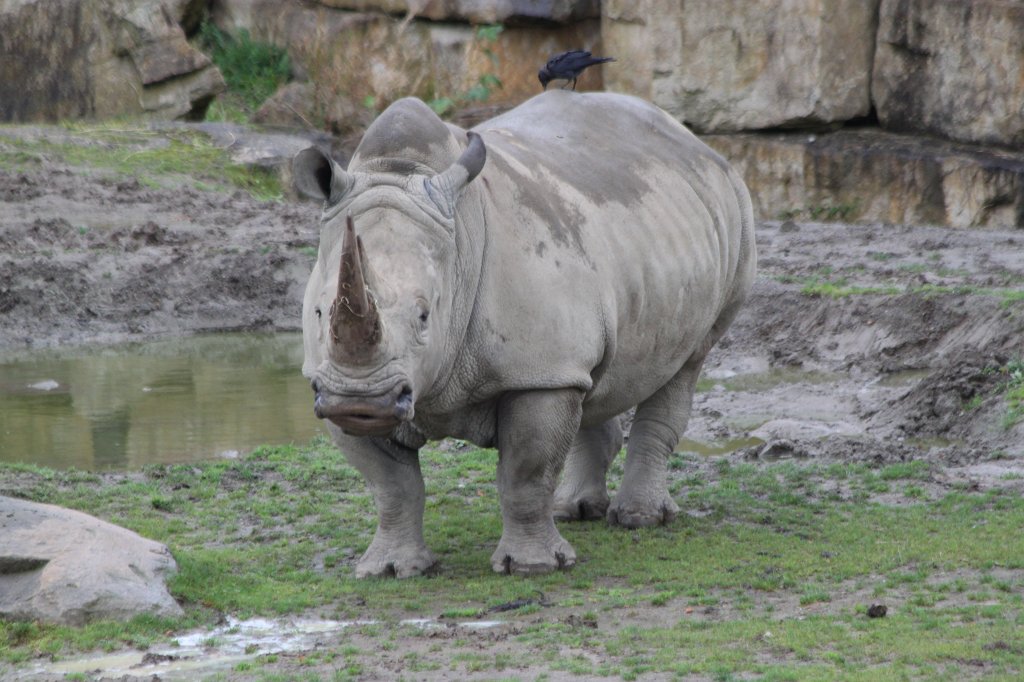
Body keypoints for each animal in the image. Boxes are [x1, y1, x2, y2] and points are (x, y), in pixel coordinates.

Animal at [293, 90, 756, 577]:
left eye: (424, 316)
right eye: (320, 312)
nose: (359, 401)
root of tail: (689, 138)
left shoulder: (538, 371)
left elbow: (526, 473)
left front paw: (533, 567)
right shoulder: (330, 380)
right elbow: (392, 486)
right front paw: (390, 570)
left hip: (733, 219)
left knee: (687, 361)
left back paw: (638, 519)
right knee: (594, 375)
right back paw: (575, 510)